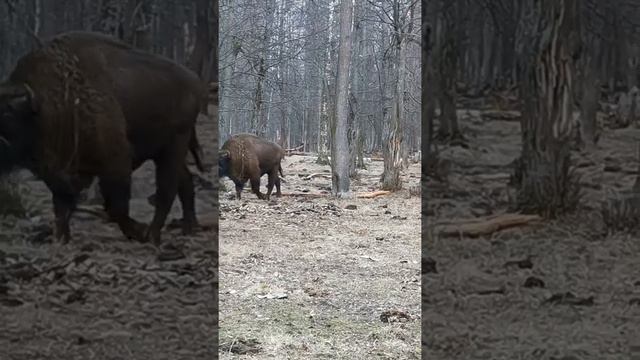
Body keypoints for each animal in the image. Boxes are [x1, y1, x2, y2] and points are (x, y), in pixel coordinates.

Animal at [0, 31, 206, 245]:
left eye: (7, 113)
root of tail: (195, 81)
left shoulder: (116, 163)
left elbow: (115, 208)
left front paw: (138, 231)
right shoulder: (60, 173)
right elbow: (62, 206)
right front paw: (61, 239)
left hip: (174, 145)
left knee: (167, 189)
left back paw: (153, 235)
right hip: (164, 151)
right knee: (185, 180)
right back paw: (189, 228)